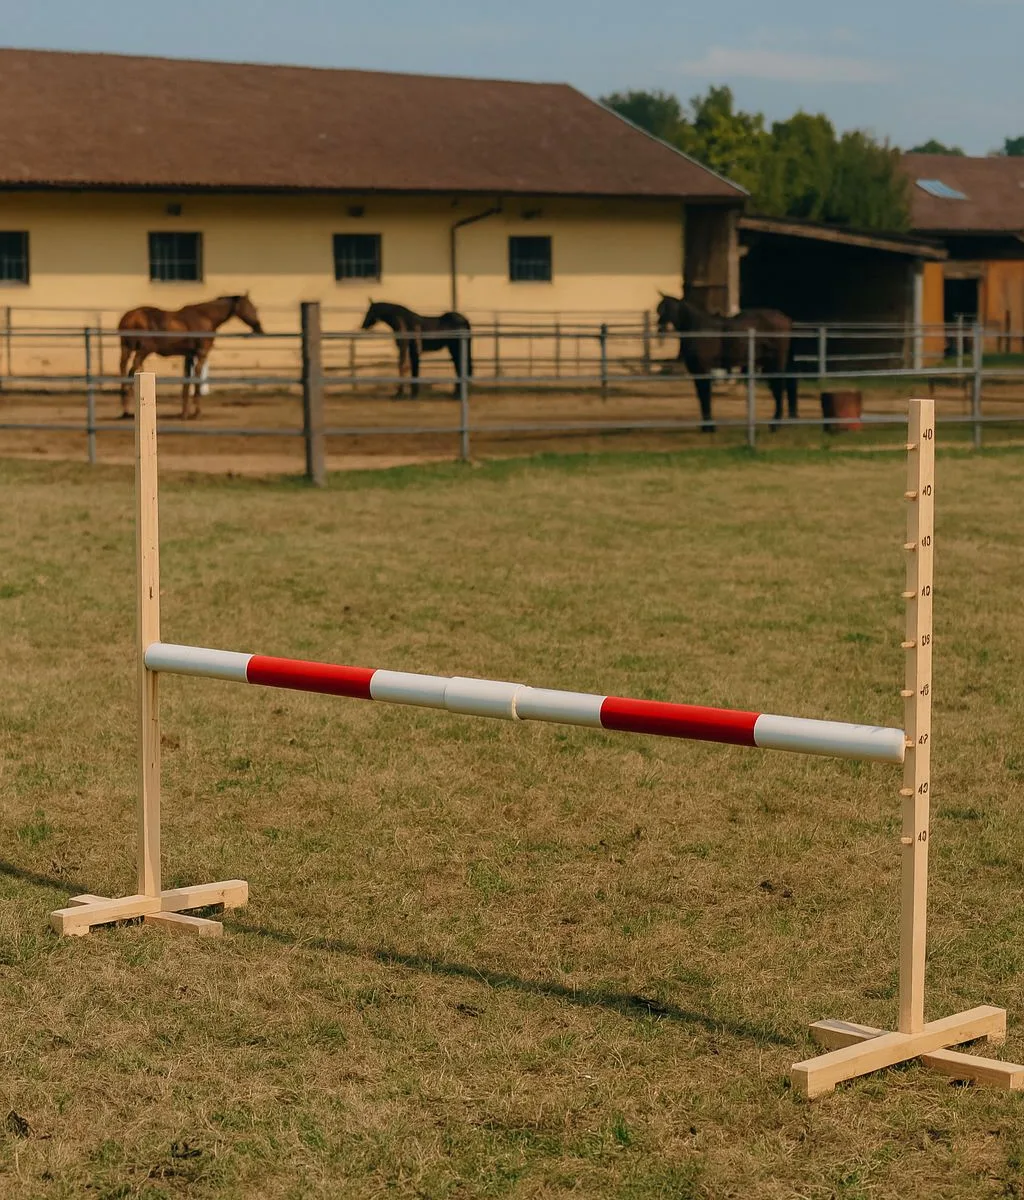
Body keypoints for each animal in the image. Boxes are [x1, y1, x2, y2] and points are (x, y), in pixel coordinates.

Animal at [117, 294, 264, 419]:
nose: (259, 328)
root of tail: (129, 318)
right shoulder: (201, 354)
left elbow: (186, 382)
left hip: (127, 349)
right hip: (144, 350)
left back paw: (125, 409)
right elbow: (197, 379)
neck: (205, 317)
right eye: (250, 307)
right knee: (131, 371)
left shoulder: (189, 355)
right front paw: (196, 412)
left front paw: (184, 413)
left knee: (124, 369)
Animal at [655, 294, 798, 432]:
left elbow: (705, 394)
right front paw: (705, 426)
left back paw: (775, 424)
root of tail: (785, 319)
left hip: (775, 363)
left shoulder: (703, 368)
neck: (699, 328)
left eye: (667, 309)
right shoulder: (696, 370)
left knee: (779, 387)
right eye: (658, 310)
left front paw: (710, 427)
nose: (660, 331)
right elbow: (701, 395)